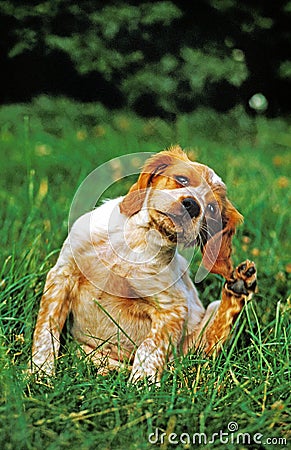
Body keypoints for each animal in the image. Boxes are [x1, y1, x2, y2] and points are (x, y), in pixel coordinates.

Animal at [32, 146, 258, 382]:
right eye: (182, 179)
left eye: (212, 209)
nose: (193, 206)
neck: (136, 241)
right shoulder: (62, 276)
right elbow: (46, 330)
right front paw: (40, 375)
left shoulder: (172, 308)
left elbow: (149, 349)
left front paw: (141, 385)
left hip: (196, 343)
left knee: (208, 349)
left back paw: (240, 287)